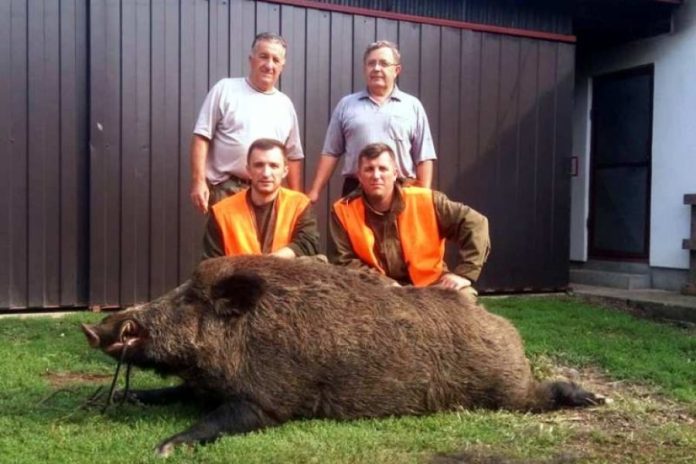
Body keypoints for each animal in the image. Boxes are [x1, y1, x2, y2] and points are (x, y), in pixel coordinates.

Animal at [81, 256, 602, 456]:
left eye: (190, 299)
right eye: (180, 290)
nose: (93, 327)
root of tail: (504, 329)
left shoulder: (268, 401)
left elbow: (216, 421)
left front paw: (164, 447)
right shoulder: (200, 388)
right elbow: (166, 394)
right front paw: (116, 400)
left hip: (504, 390)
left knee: (541, 393)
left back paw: (596, 400)